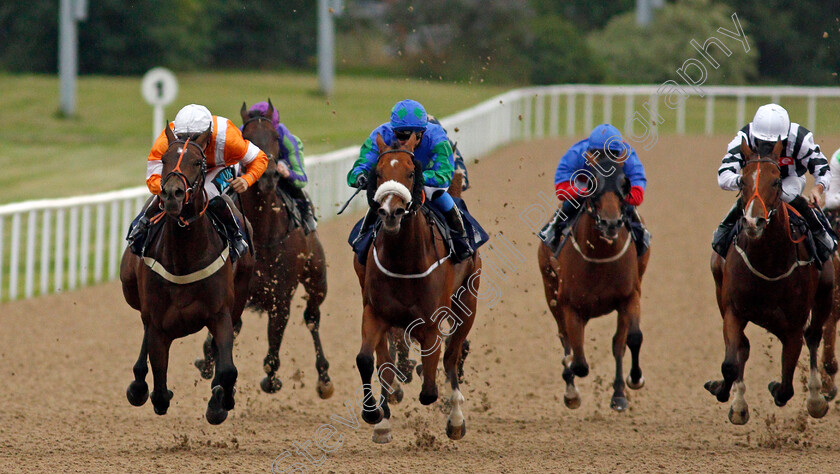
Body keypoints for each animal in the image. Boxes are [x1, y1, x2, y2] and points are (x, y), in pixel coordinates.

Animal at [120, 125, 253, 422]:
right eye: (164, 159)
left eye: (197, 162)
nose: (172, 194)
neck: (183, 258)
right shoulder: (158, 322)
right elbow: (159, 388)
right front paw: (152, 391)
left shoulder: (220, 313)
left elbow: (228, 369)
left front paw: (220, 402)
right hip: (131, 289)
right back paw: (137, 385)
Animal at [193, 101, 332, 400]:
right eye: (247, 136)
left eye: (276, 137)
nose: (268, 175)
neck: (264, 232)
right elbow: (219, 337)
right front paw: (209, 362)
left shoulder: (281, 297)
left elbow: (273, 350)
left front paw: (272, 379)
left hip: (317, 278)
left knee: (312, 319)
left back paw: (324, 377)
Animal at [352, 134, 480, 444]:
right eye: (377, 173)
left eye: (411, 173)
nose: (390, 212)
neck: (404, 259)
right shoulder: (374, 312)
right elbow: (367, 360)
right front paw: (375, 414)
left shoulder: (431, 321)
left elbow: (431, 383)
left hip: (468, 303)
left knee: (451, 356)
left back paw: (455, 417)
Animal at [540, 149, 648, 412]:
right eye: (591, 184)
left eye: (624, 183)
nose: (611, 223)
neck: (600, 256)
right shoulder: (570, 306)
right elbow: (578, 361)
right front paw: (571, 381)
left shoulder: (631, 296)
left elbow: (632, 338)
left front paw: (635, 379)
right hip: (551, 294)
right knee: (565, 340)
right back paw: (571, 391)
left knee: (618, 343)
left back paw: (618, 394)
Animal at [704, 139, 836, 424]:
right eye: (742, 181)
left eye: (776, 181)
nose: (753, 221)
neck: (768, 262)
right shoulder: (733, 310)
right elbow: (730, 363)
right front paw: (727, 395)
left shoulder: (793, 326)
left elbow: (786, 385)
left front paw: (777, 387)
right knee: (743, 347)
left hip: (825, 294)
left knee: (813, 336)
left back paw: (816, 398)